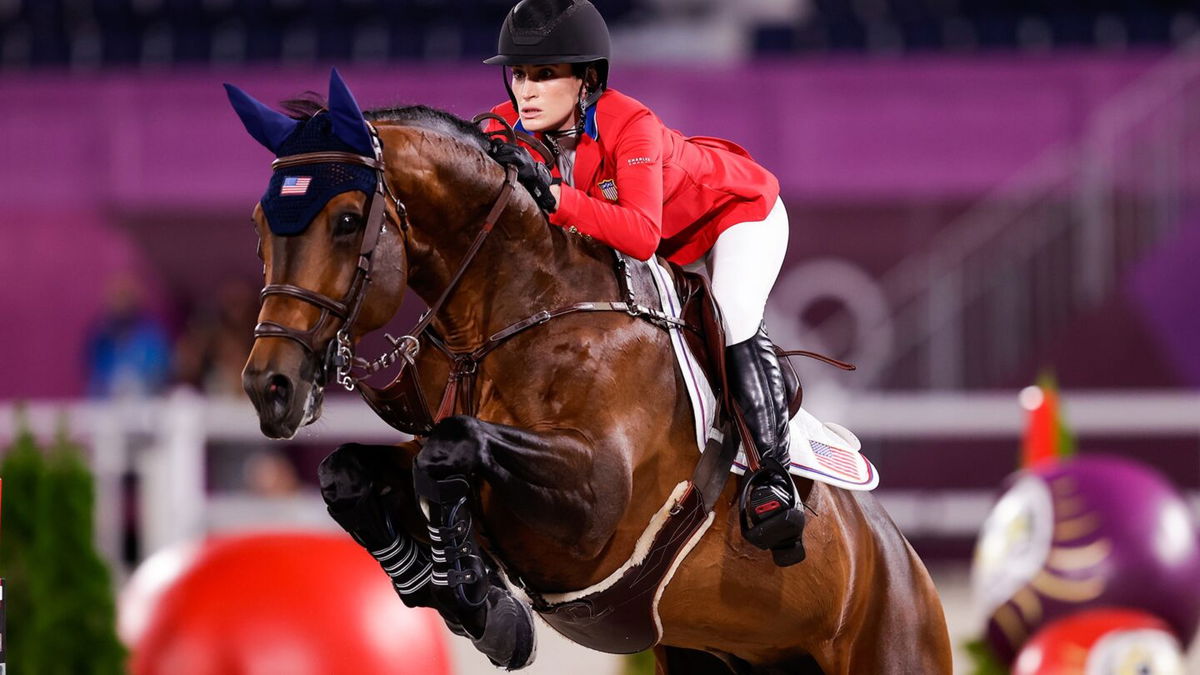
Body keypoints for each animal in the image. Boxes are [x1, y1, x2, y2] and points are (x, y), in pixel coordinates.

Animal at [229, 69, 950, 672]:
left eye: (348, 220)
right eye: (260, 225)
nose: (270, 388)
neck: (517, 310)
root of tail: (903, 557)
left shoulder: (595, 504)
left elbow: (449, 449)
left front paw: (479, 600)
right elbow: (350, 471)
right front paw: (464, 597)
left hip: (891, 643)